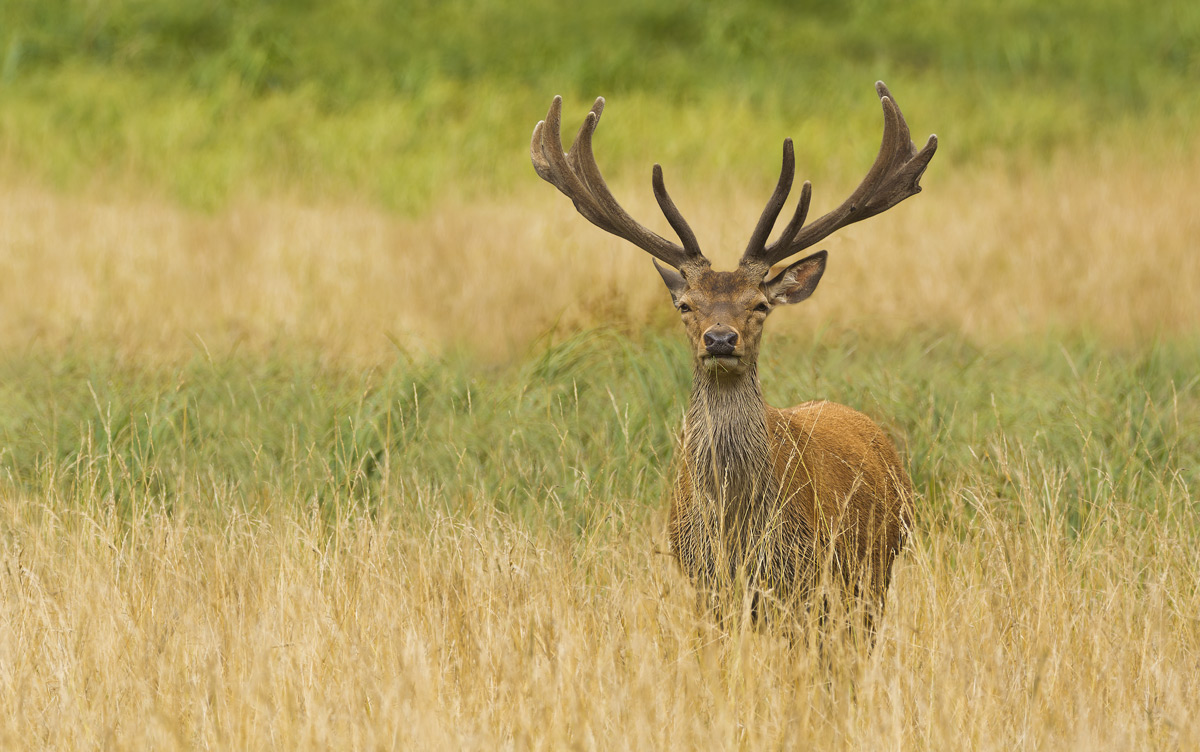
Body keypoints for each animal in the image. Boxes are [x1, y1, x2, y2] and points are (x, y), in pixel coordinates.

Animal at [530, 82, 937, 638]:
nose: (720, 339)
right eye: (685, 305)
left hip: (872, 573)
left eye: (760, 304)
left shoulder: (806, 579)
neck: (735, 532)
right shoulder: (704, 580)